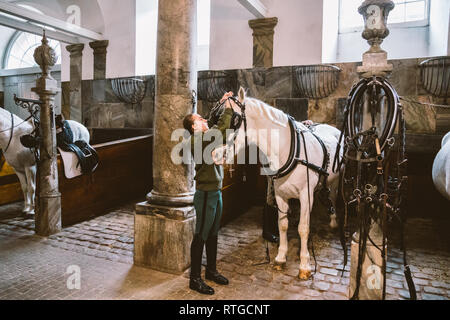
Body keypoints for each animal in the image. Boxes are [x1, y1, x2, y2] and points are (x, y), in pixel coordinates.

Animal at [230, 88, 342, 280]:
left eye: (234, 119)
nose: (213, 153)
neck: (290, 151)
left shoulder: (306, 195)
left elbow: (303, 228)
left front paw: (304, 265)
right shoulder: (280, 194)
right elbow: (282, 225)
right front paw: (281, 257)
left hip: (337, 178)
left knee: (334, 196)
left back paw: (334, 220)